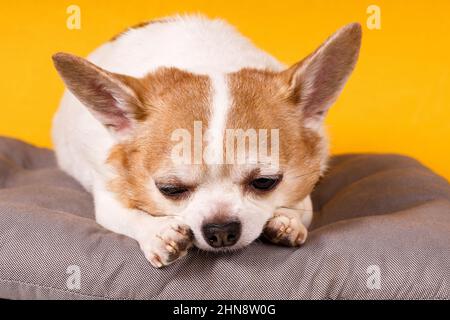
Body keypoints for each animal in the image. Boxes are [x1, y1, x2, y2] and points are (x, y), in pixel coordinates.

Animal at [51, 15, 362, 266]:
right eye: (170, 189)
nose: (221, 229)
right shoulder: (109, 191)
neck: (207, 63)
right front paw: (157, 233)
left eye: (265, 182)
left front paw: (287, 221)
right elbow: (127, 215)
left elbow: (302, 207)